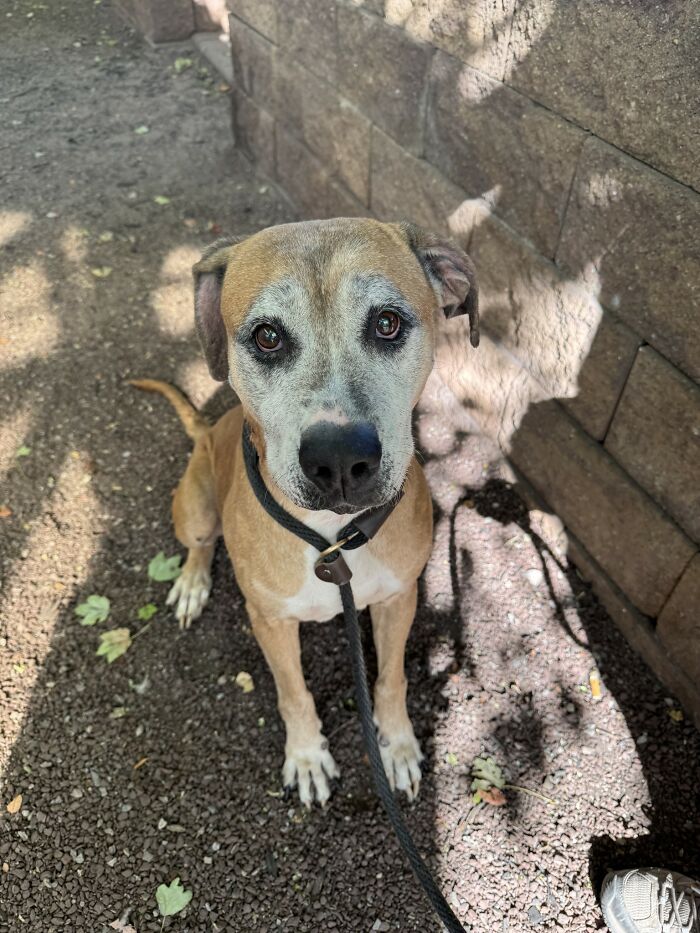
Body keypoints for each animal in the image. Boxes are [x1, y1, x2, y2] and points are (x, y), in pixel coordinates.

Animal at [133, 220, 476, 808]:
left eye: (388, 323)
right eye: (267, 336)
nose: (339, 459)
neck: (331, 540)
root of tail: (205, 431)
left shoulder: (398, 598)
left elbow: (391, 680)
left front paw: (397, 744)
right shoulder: (270, 621)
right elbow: (292, 692)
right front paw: (308, 755)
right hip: (195, 508)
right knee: (200, 544)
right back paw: (193, 584)